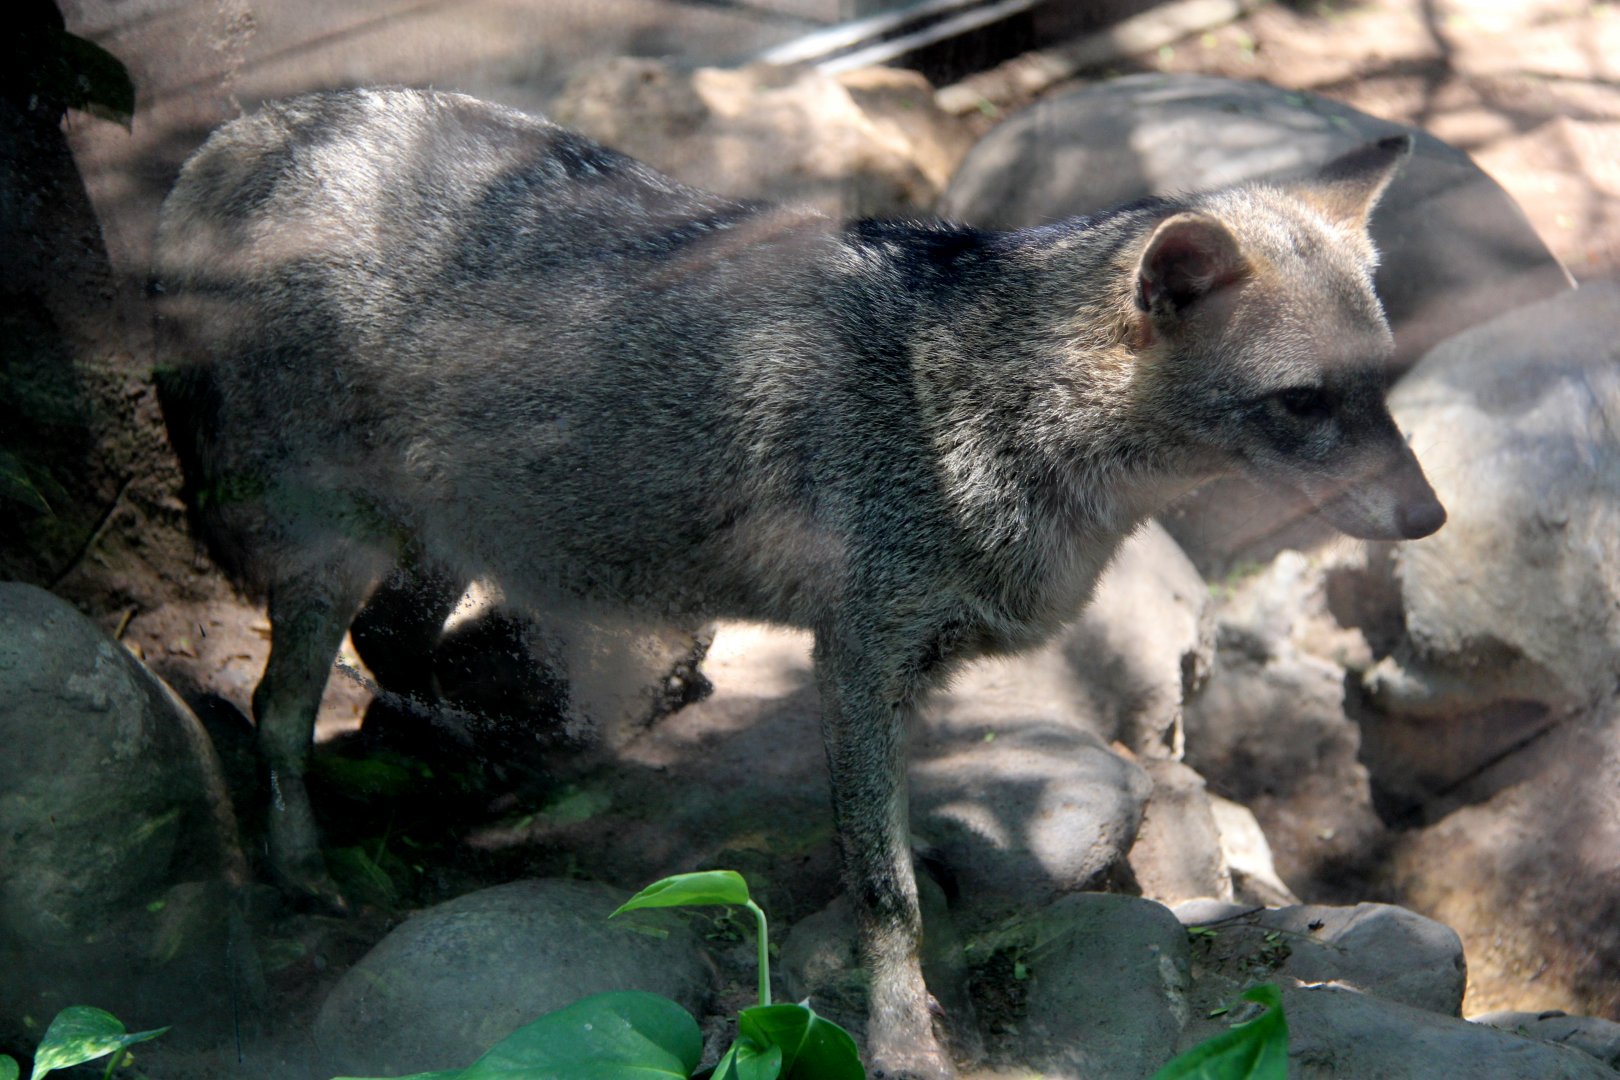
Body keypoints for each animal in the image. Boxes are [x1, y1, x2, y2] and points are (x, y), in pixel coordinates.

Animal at [152, 87, 1444, 1079]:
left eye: (1381, 388)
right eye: (1302, 404)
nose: (1430, 518)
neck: (980, 405)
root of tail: (249, 133)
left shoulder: (907, 671)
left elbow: (906, 859)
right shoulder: (856, 655)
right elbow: (886, 891)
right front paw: (904, 1041)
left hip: (446, 547)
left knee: (388, 653)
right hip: (343, 558)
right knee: (278, 707)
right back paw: (306, 870)